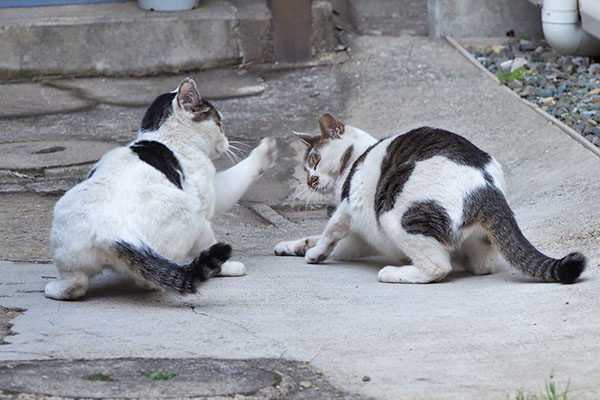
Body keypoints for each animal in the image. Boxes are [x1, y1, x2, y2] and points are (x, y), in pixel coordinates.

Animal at [47, 77, 276, 300]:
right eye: (219, 124)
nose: (227, 138)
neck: (166, 137)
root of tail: (113, 231)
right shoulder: (207, 197)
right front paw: (265, 151)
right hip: (188, 213)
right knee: (152, 276)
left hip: (65, 233)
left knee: (76, 282)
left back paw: (56, 289)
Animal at [276, 112, 584, 284]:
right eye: (306, 167)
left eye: (314, 161)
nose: (309, 180)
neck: (358, 158)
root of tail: (488, 189)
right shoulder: (362, 237)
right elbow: (317, 238)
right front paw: (291, 247)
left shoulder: (350, 208)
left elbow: (328, 233)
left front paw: (314, 254)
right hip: (479, 240)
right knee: (482, 265)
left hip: (393, 216)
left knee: (438, 267)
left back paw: (393, 273)